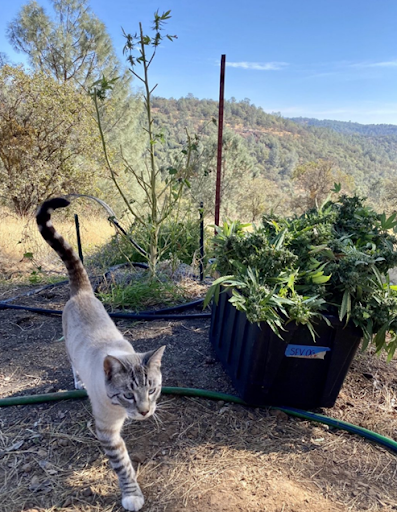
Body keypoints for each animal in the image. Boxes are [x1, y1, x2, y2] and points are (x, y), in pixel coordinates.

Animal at [35, 197, 162, 512]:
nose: (145, 411)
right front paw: (132, 495)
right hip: (69, 347)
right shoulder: (106, 431)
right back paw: (78, 382)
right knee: (71, 363)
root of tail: (82, 293)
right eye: (128, 394)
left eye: (152, 390)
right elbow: (124, 466)